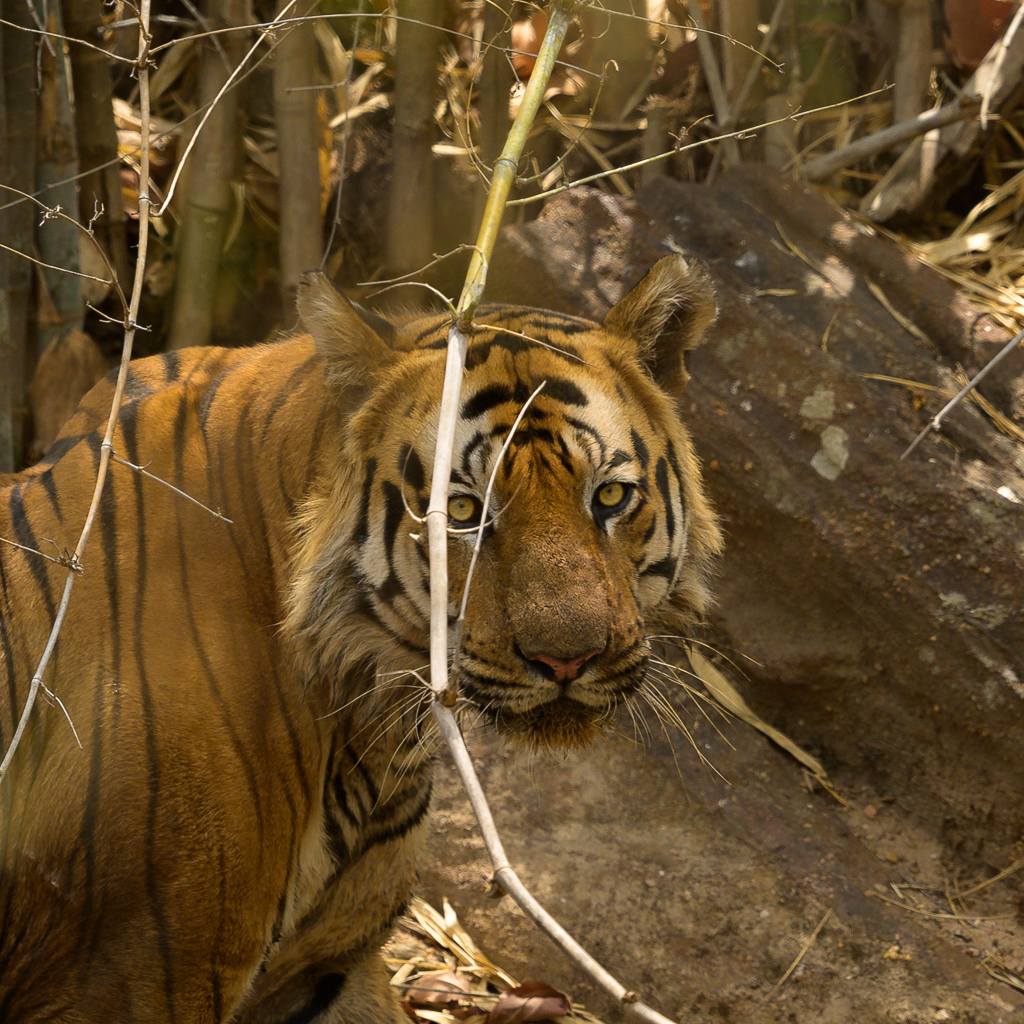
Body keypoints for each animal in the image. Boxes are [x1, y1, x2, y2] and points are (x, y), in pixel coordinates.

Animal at [0, 253, 721, 1024]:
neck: (372, 727)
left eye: (610, 497)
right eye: (461, 511)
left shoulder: (323, 970)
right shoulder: (131, 979)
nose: (567, 658)